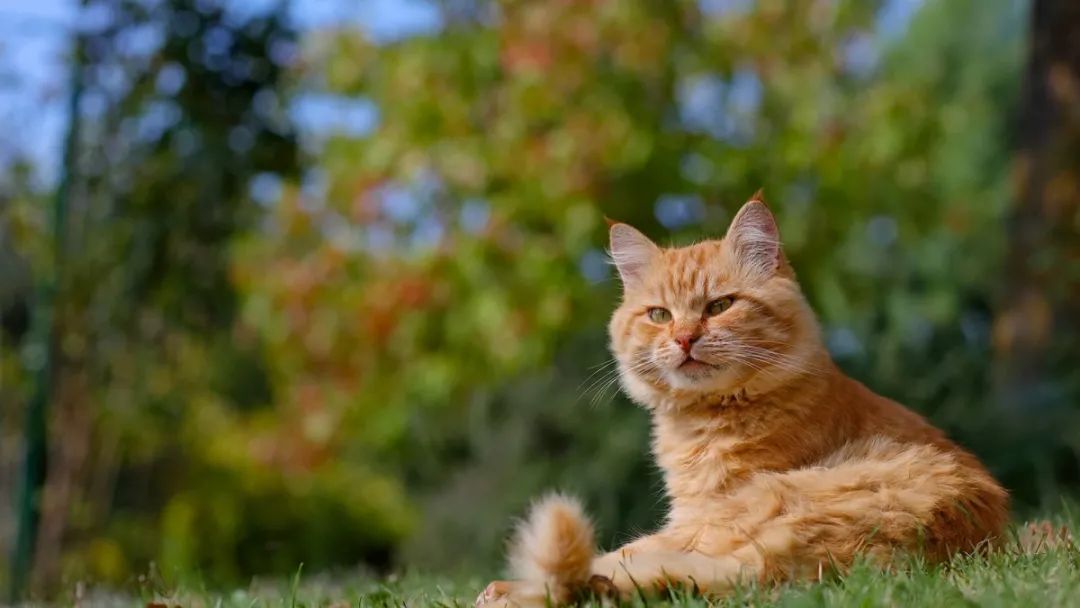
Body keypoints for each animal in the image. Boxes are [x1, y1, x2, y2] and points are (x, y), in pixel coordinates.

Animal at [477, 195, 1006, 608]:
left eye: (719, 307)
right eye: (659, 315)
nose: (685, 338)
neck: (709, 415)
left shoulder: (692, 519)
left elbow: (621, 554)